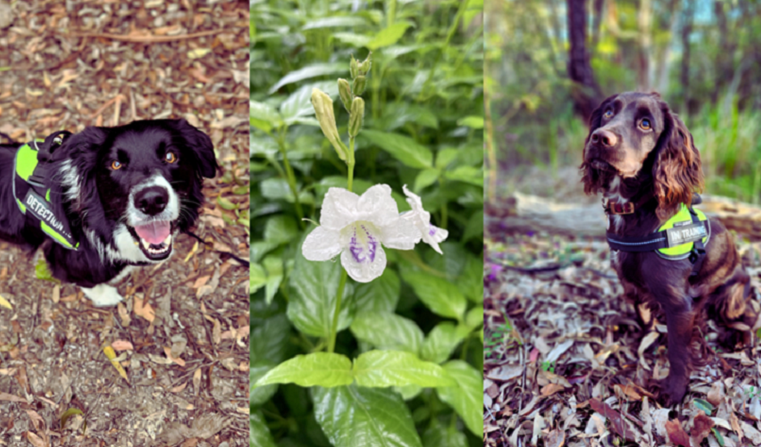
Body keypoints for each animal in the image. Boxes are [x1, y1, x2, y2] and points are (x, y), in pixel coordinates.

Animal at [0, 119, 217, 308]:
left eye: (170, 156)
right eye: (115, 164)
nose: (151, 201)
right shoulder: (66, 258)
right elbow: (86, 280)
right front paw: (105, 296)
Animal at [580, 91, 756, 406]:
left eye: (646, 124)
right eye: (608, 113)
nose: (600, 138)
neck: (633, 209)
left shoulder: (679, 304)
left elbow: (677, 351)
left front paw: (674, 390)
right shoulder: (632, 286)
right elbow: (644, 318)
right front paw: (646, 341)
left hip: (731, 294)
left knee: (748, 313)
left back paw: (737, 336)